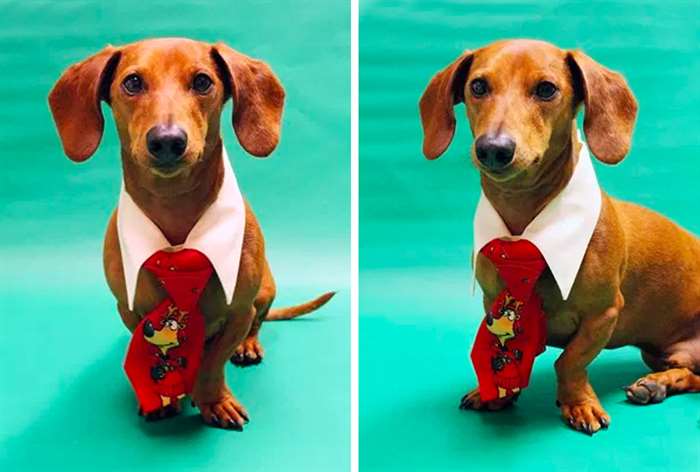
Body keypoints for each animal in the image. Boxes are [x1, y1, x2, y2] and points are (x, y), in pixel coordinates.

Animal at [48, 37, 334, 428]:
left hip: (265, 290)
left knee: (257, 323)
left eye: (202, 82)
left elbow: (213, 362)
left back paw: (248, 346)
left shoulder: (239, 311)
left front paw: (212, 398)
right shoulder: (129, 309)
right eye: (132, 82)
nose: (167, 140)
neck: (176, 214)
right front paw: (166, 395)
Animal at [422, 40, 700, 436]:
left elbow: (570, 361)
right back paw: (657, 384)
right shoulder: (493, 304)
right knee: (688, 373)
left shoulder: (603, 314)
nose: (493, 148)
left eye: (546, 89)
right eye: (477, 86)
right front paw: (497, 394)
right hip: (658, 352)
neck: (523, 221)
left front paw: (578, 403)